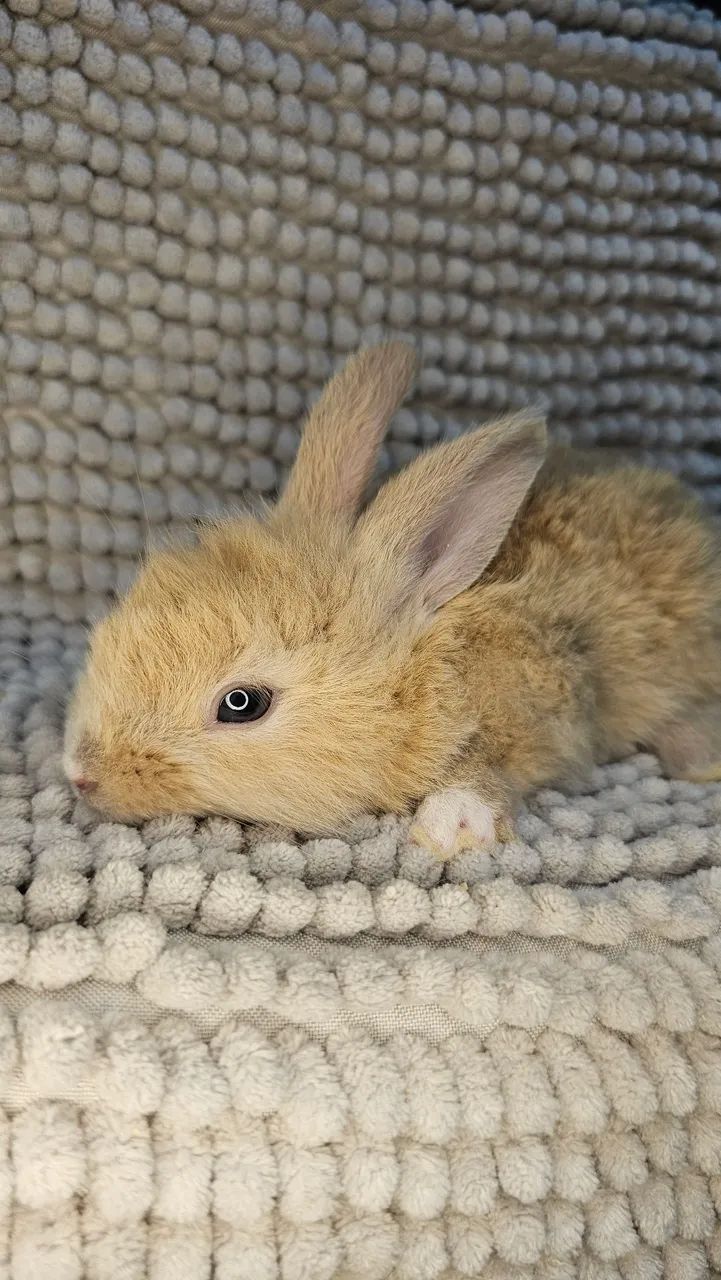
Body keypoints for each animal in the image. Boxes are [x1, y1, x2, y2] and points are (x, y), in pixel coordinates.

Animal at [64, 341, 721, 858]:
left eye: (242, 704)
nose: (79, 774)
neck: (433, 666)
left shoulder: (544, 704)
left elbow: (490, 769)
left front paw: (451, 828)